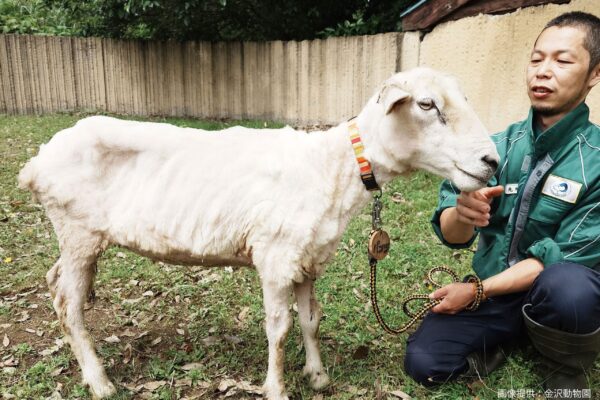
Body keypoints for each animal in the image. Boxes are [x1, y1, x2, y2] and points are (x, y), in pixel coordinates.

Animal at [17, 67, 496, 398]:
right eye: (427, 105)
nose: (491, 161)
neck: (335, 166)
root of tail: (37, 162)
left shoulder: (307, 258)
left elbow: (311, 320)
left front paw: (318, 376)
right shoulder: (275, 256)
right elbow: (279, 329)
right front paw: (277, 387)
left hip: (75, 238)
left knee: (54, 283)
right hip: (78, 232)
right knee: (68, 304)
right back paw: (99, 381)